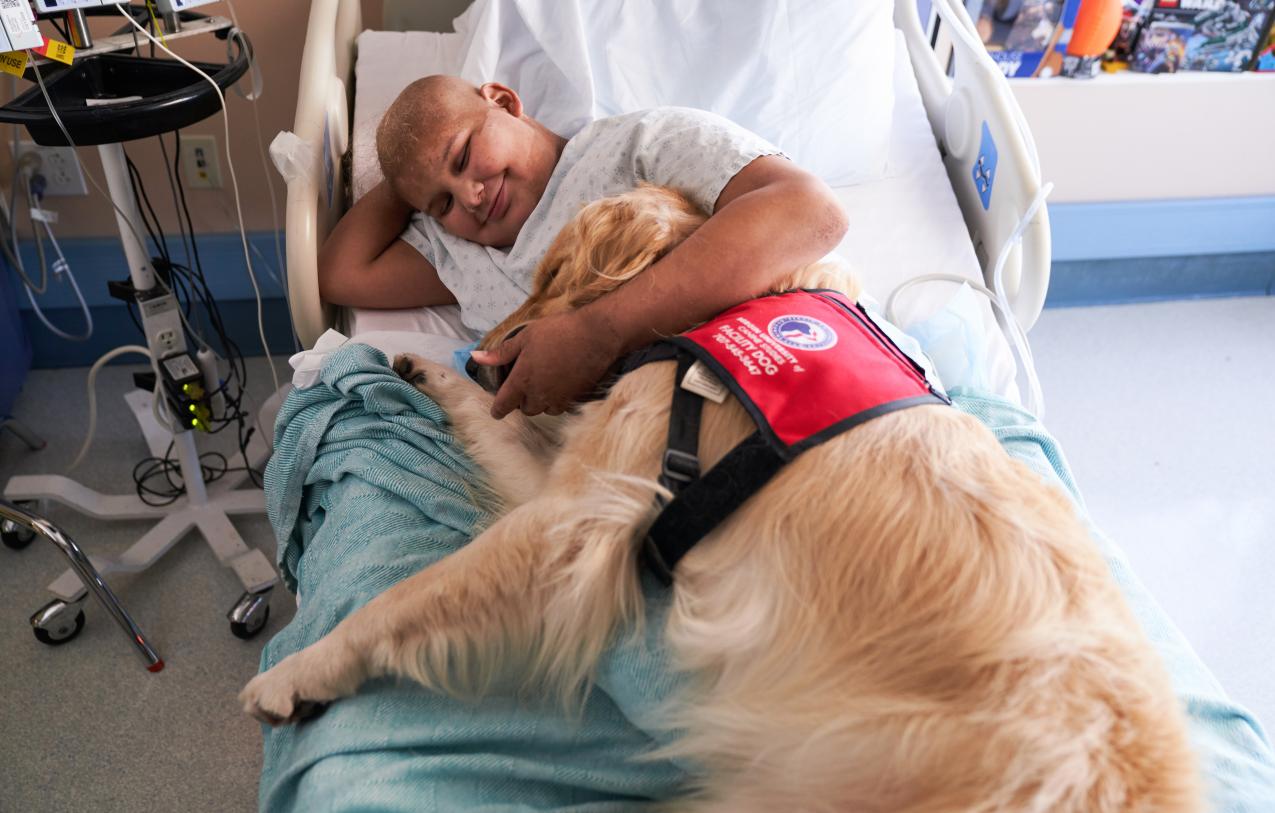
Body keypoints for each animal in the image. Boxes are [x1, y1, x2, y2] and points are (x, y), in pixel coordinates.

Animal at [240, 186, 1203, 813]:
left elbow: (406, 596)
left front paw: (297, 673)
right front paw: (426, 371)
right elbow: (496, 435)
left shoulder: (573, 525)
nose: (478, 358)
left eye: (553, 271)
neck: (730, 301)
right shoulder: (582, 484)